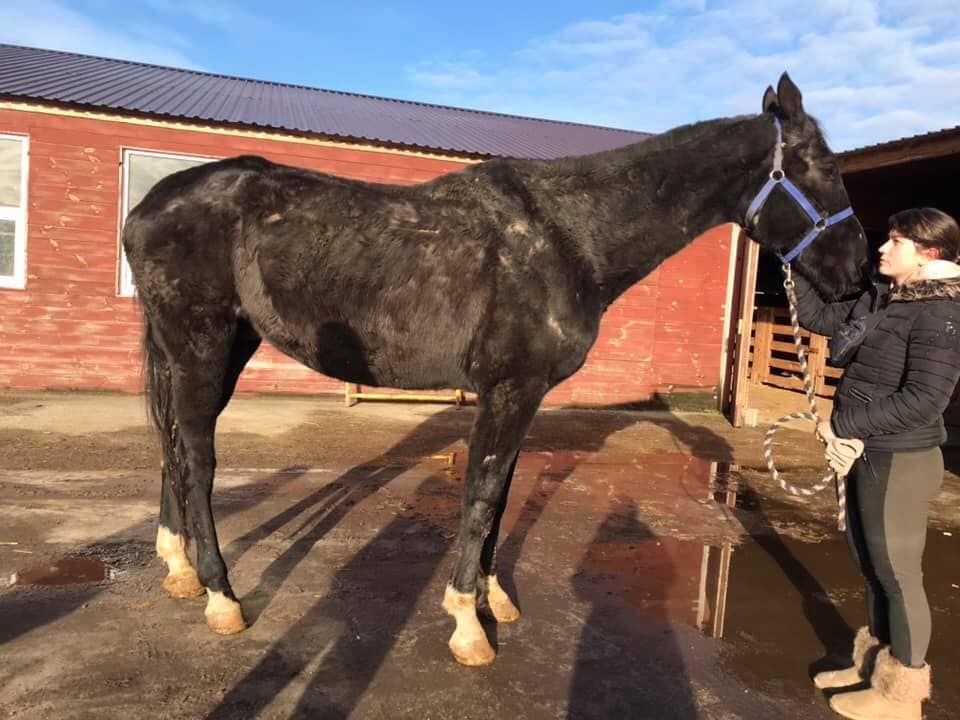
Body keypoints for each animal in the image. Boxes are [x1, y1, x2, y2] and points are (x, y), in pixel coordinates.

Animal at [122, 73, 869, 666]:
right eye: (822, 167)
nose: (858, 271)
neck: (569, 235)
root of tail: (151, 206)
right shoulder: (509, 390)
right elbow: (481, 498)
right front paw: (467, 626)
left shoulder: (521, 396)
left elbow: (502, 495)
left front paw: (493, 599)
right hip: (201, 342)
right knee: (197, 456)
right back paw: (221, 597)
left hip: (218, 347)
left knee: (174, 444)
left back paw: (179, 567)